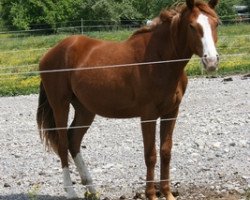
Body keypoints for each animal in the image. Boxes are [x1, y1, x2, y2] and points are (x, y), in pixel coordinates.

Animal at [36, 0, 220, 199]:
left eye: (216, 23)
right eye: (192, 26)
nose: (211, 61)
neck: (159, 61)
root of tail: (51, 53)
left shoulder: (171, 112)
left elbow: (165, 152)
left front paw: (167, 193)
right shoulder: (148, 115)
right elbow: (150, 155)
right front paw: (151, 194)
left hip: (85, 110)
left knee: (73, 141)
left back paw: (92, 189)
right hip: (60, 105)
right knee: (63, 145)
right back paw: (71, 192)